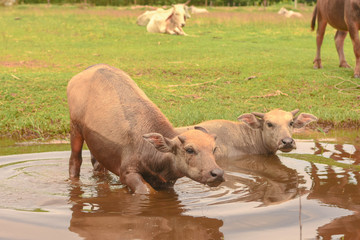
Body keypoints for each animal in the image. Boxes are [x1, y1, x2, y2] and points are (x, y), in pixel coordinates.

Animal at [66, 64, 224, 195]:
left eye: (214, 149)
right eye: (189, 150)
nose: (217, 173)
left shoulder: (167, 183)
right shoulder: (128, 173)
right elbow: (147, 191)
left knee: (98, 165)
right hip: (75, 127)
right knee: (75, 160)